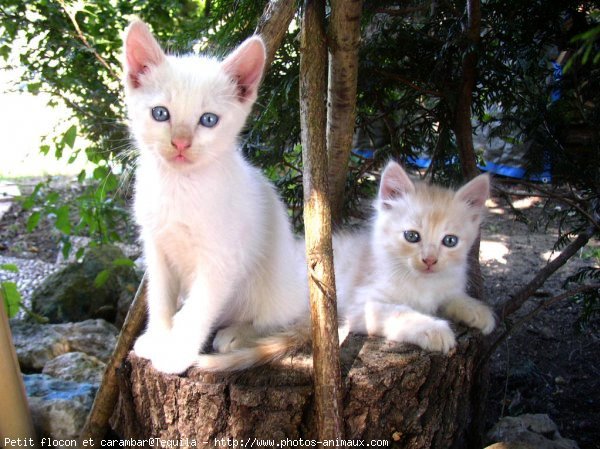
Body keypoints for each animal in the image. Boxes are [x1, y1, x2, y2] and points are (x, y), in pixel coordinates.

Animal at [123, 19, 308, 372]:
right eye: (160, 113)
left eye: (208, 120)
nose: (181, 143)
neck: (179, 186)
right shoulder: (156, 246)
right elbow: (159, 297)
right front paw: (159, 337)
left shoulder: (221, 258)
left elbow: (200, 307)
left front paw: (176, 353)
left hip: (276, 283)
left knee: (278, 318)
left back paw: (238, 333)